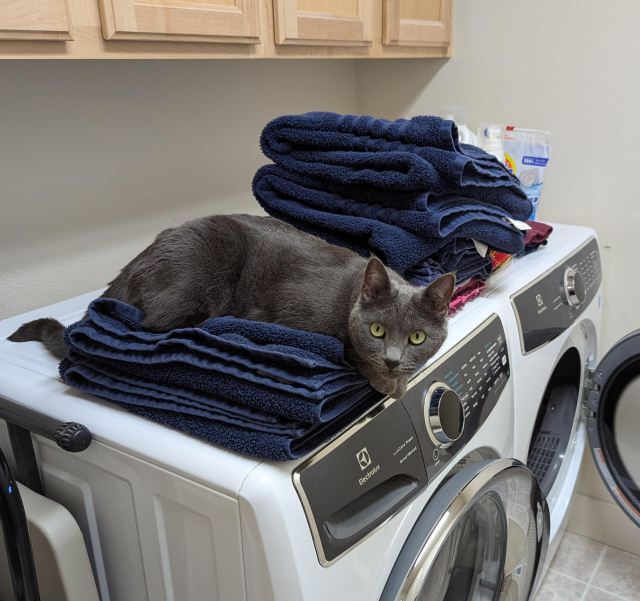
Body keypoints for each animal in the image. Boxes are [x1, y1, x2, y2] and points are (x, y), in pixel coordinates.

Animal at [7, 214, 452, 398]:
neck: (349, 294)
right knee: (157, 326)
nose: (393, 360)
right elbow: (350, 352)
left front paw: (398, 378)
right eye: (377, 329)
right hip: (197, 277)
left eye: (417, 338)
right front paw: (389, 382)